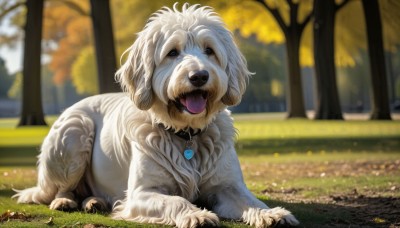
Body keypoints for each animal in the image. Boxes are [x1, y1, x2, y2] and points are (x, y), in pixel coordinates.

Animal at [14, 4, 298, 228]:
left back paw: (94, 201)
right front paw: (196, 215)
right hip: (74, 132)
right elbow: (177, 200)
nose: (199, 76)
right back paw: (65, 200)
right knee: (59, 189)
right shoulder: (142, 193)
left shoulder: (228, 187)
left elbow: (251, 201)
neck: (186, 134)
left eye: (209, 50)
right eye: (172, 52)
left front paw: (271, 214)